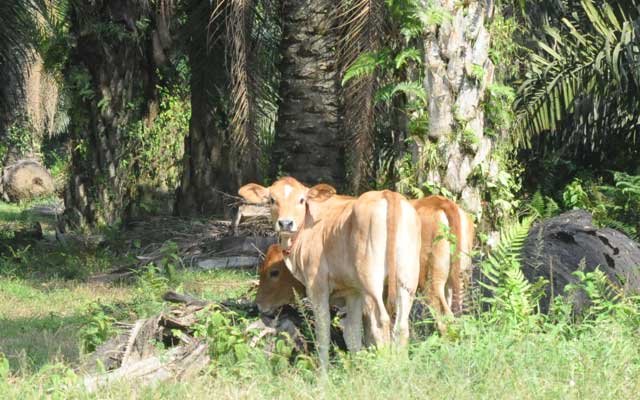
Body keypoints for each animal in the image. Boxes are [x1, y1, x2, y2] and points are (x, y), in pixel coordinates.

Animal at [239, 177, 421, 369]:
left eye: (301, 200)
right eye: (272, 200)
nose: (286, 223)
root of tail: (387, 194)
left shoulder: (317, 287)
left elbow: (323, 329)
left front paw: (323, 371)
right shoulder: (353, 292)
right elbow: (353, 333)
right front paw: (357, 369)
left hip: (371, 283)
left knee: (381, 322)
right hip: (407, 281)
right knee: (401, 326)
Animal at [255, 195, 475, 332]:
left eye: (274, 272)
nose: (258, 304)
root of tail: (443, 203)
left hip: (430, 286)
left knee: (446, 319)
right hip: (455, 281)